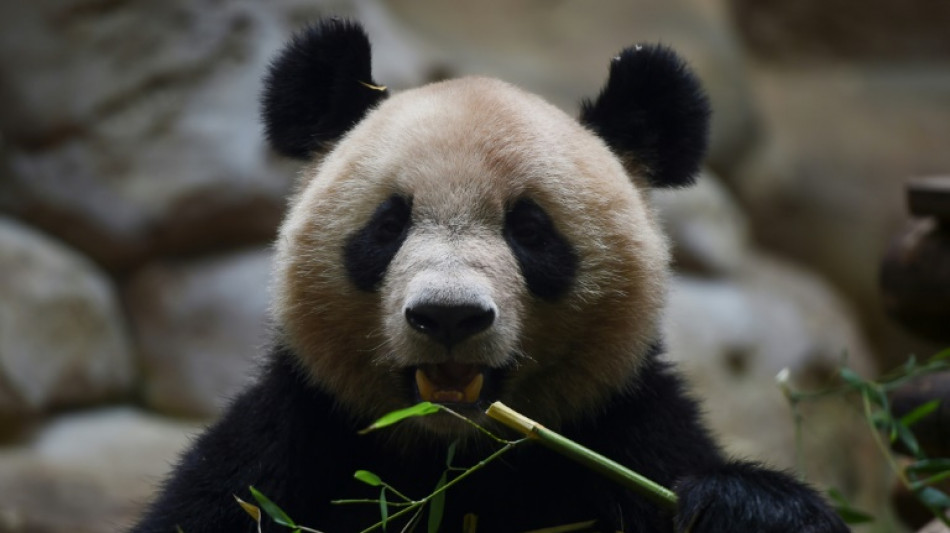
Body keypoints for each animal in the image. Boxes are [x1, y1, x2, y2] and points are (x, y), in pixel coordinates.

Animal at [130, 17, 852, 532]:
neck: (451, 458)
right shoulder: (284, 450)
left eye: (530, 229)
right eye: (388, 225)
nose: (448, 315)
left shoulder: (626, 433)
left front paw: (743, 507)